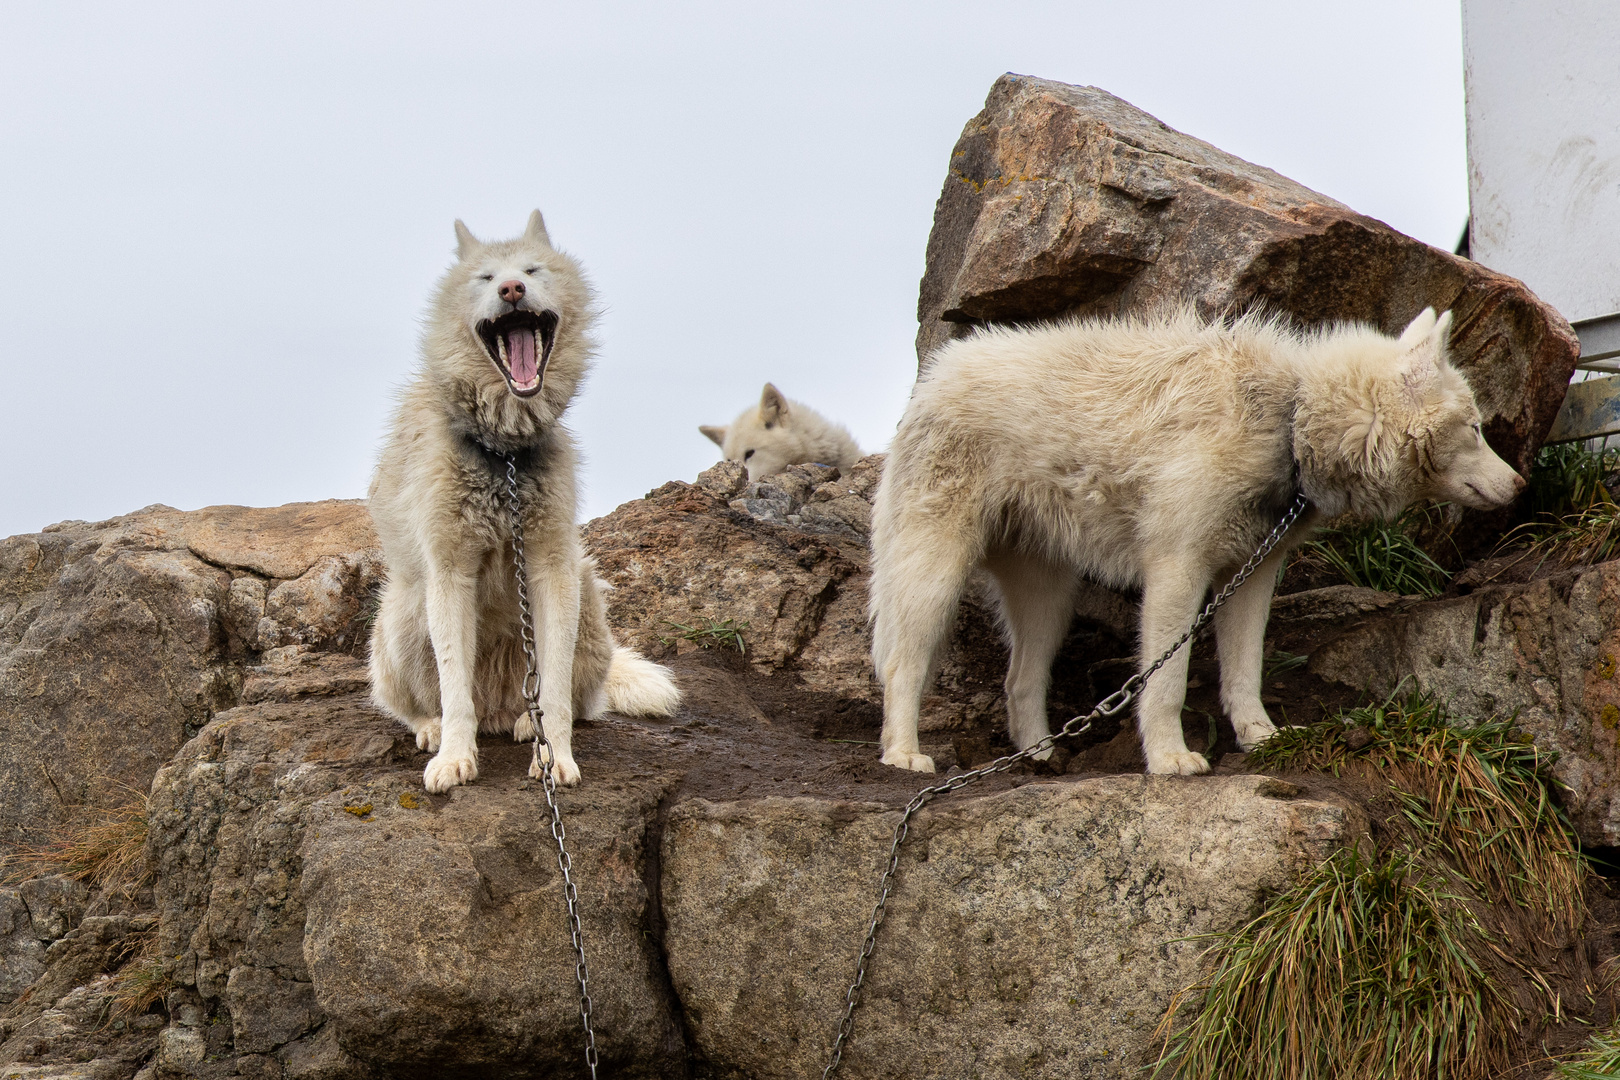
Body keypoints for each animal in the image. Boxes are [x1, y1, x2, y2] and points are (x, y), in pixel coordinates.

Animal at [868, 307, 1522, 773]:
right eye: (1477, 428)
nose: (1520, 484)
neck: (1288, 422)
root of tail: (933, 377)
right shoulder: (1177, 572)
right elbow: (1168, 685)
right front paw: (1169, 759)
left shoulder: (1251, 577)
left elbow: (1245, 674)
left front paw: (1262, 740)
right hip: (935, 583)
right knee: (901, 667)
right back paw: (903, 755)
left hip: (1050, 603)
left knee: (1019, 682)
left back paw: (1040, 760)